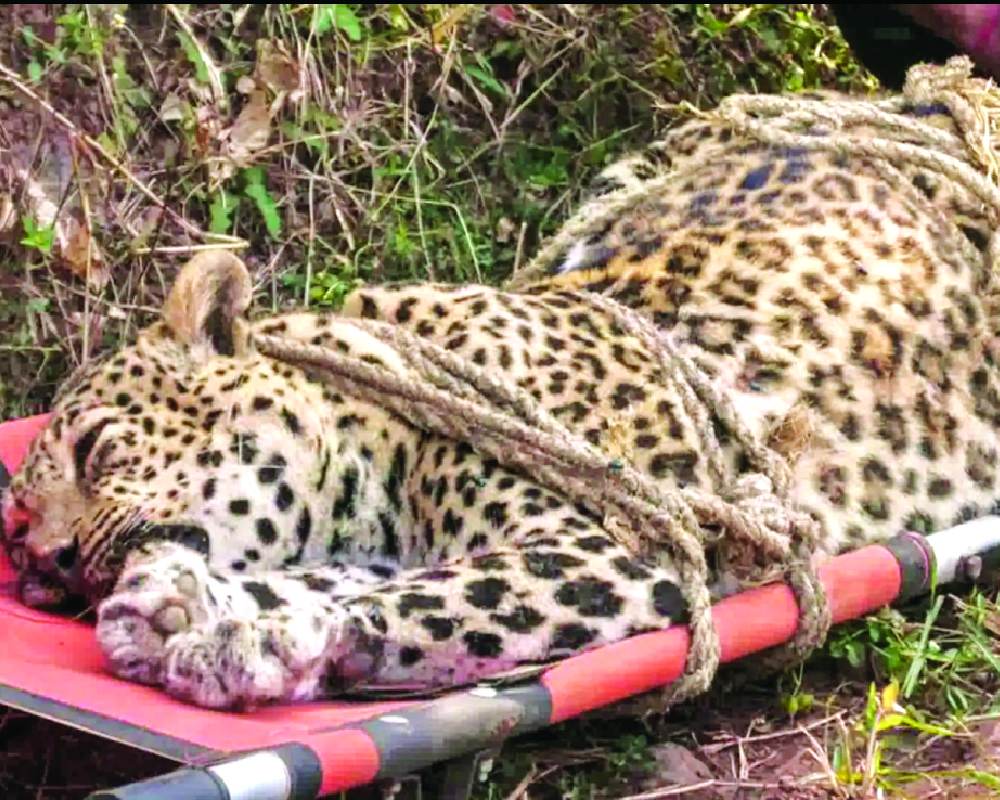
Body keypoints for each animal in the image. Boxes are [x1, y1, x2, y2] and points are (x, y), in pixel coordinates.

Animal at [3, 87, 1000, 711]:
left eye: (97, 449)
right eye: (16, 537)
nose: (47, 564)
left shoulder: (606, 547)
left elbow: (436, 597)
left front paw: (231, 635)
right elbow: (341, 583)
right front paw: (184, 607)